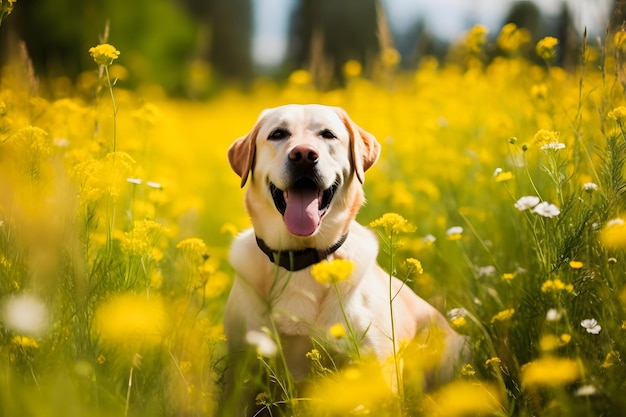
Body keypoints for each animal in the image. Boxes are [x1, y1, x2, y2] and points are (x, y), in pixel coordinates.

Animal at [221, 103, 468, 412]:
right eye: (278, 134)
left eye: (328, 134)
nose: (304, 155)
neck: (301, 259)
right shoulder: (241, 372)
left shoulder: (377, 371)